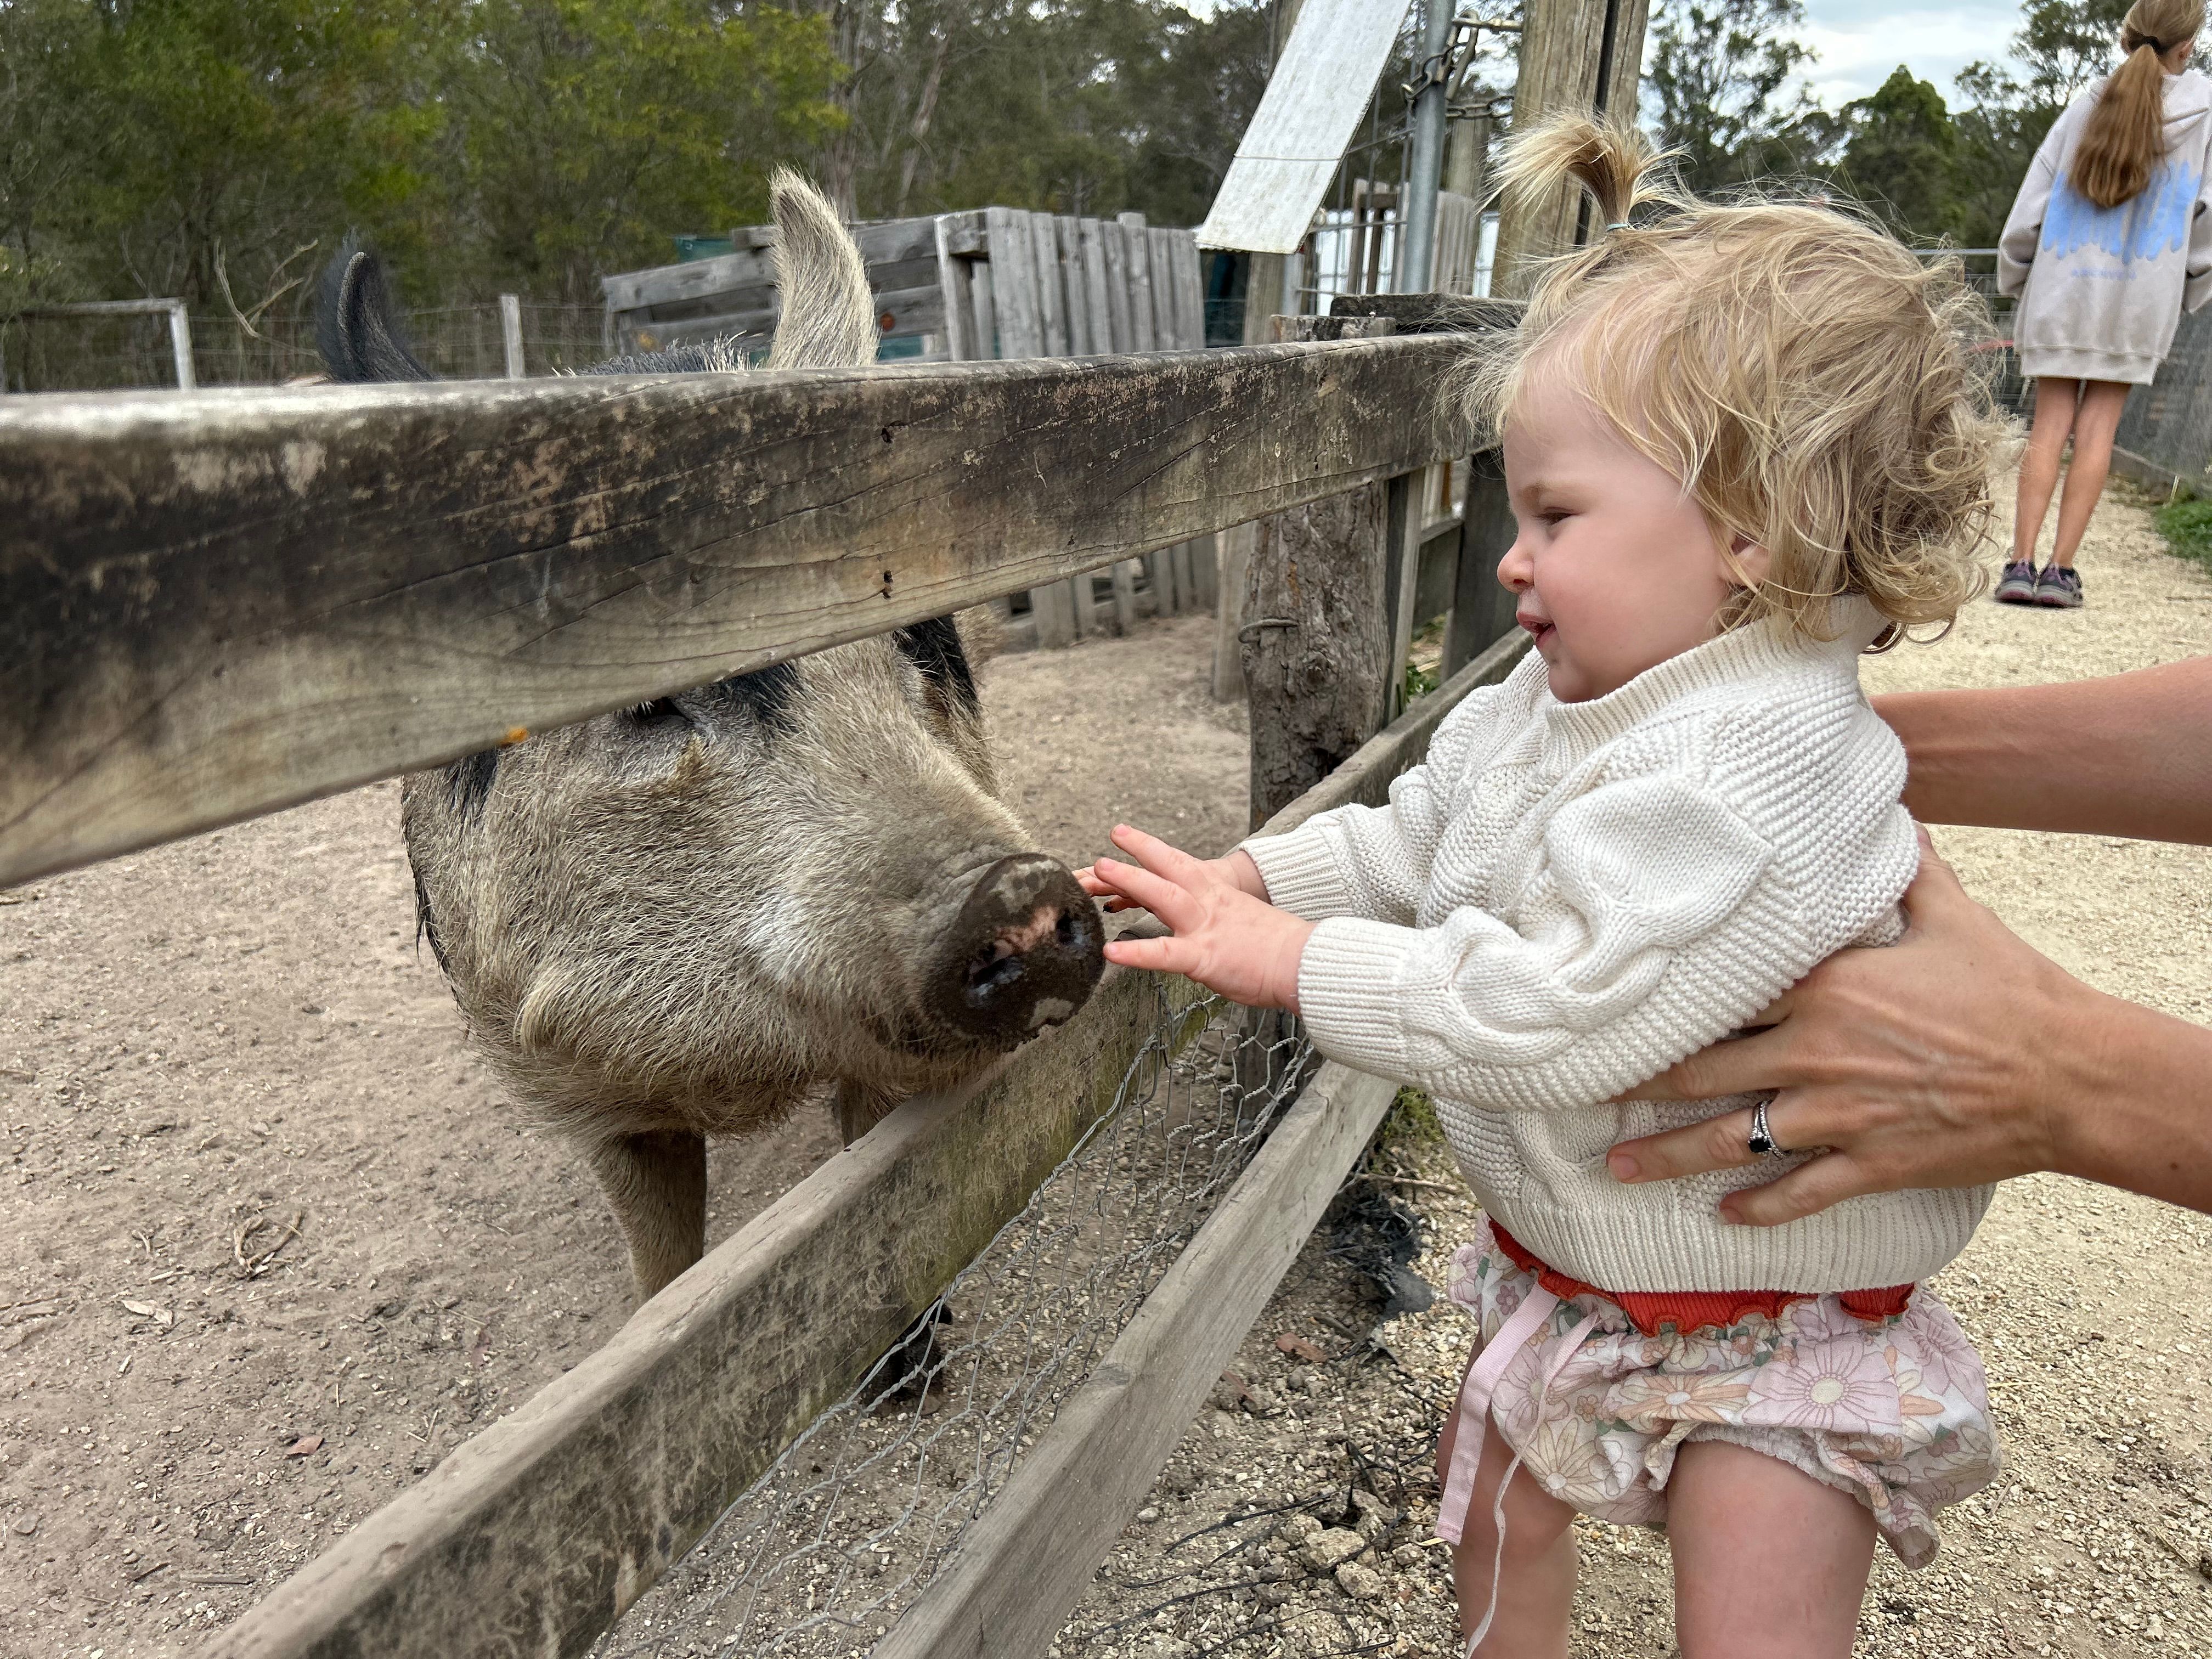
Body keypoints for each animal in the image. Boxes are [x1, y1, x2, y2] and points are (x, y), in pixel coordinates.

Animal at [316, 172, 1105, 1301]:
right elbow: (665, 1269)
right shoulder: (573, 1084)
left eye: (904, 640)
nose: (1022, 892)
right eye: (652, 697)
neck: (738, 1076)